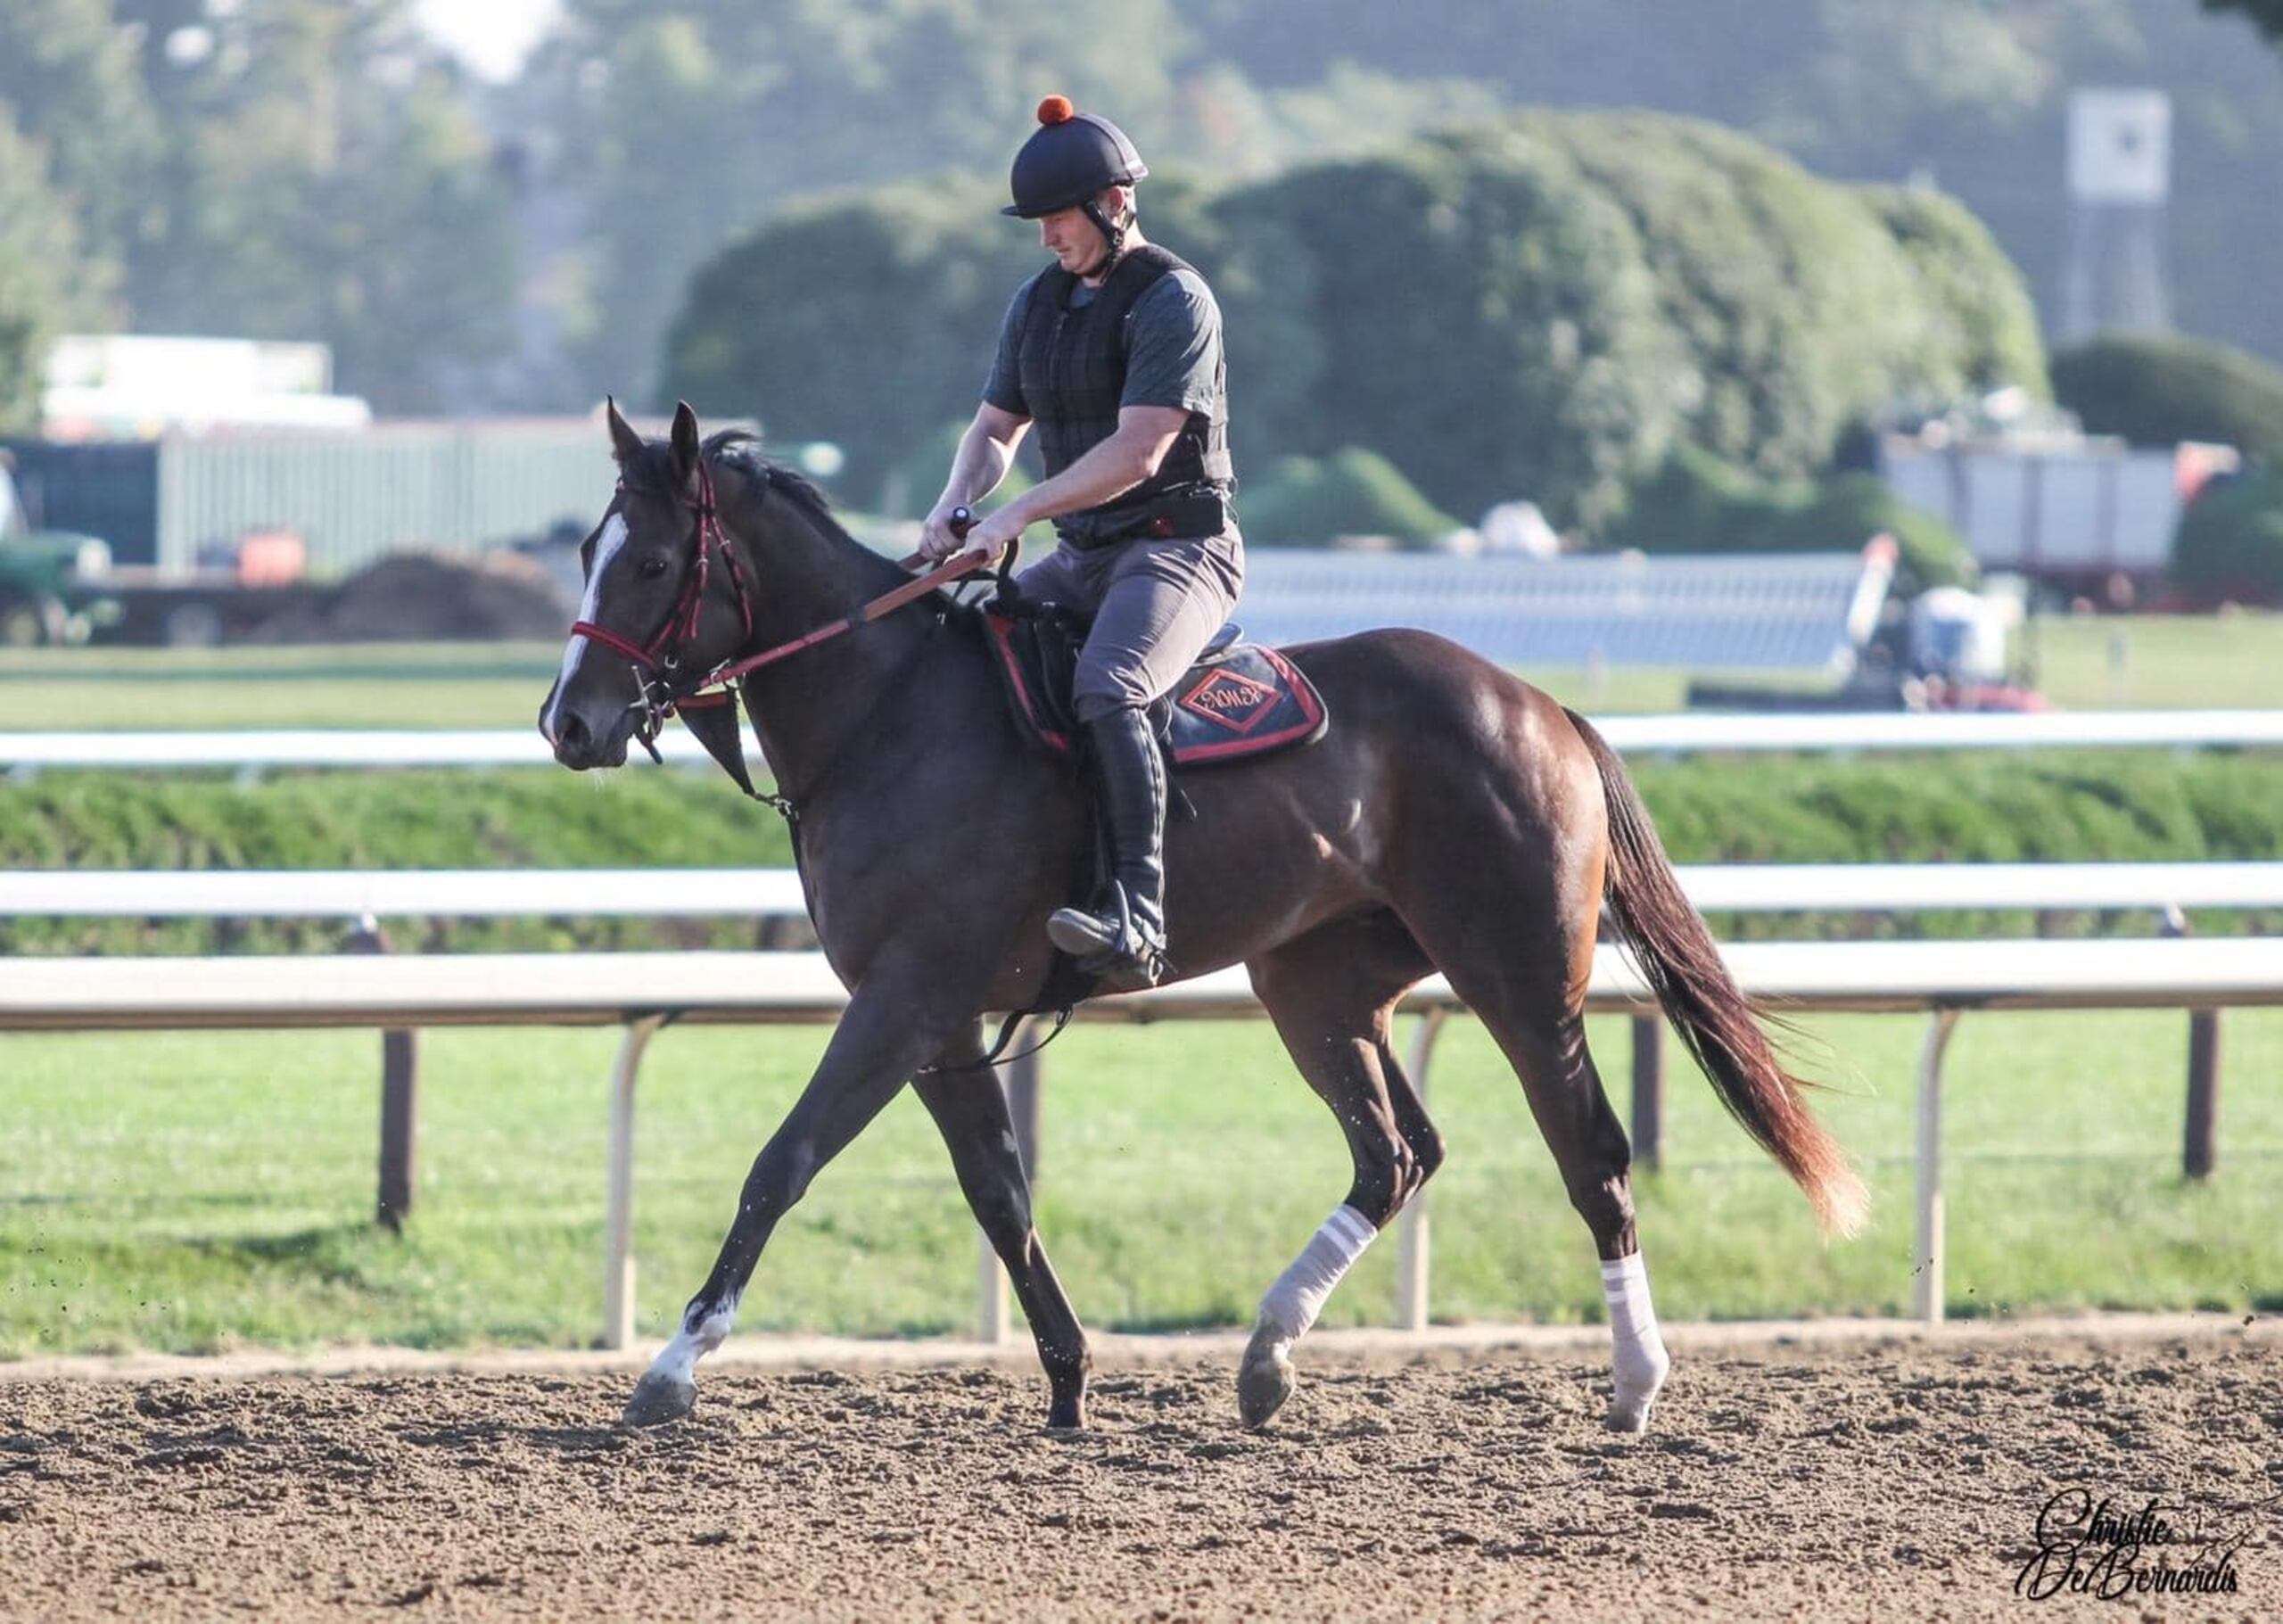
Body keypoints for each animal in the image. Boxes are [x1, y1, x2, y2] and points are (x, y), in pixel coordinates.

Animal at [543, 404, 1862, 1434]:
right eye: (587, 550)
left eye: (651, 564)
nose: (568, 722)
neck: (889, 712)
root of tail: (1540, 705)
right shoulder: (943, 1020)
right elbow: (1000, 1195)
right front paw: (1070, 1381)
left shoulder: (904, 999)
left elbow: (785, 1160)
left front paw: (673, 1365)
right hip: (1315, 985)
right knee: (1393, 1154)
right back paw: (1268, 1353)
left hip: (1522, 980)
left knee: (1589, 1155)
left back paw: (1634, 1381)